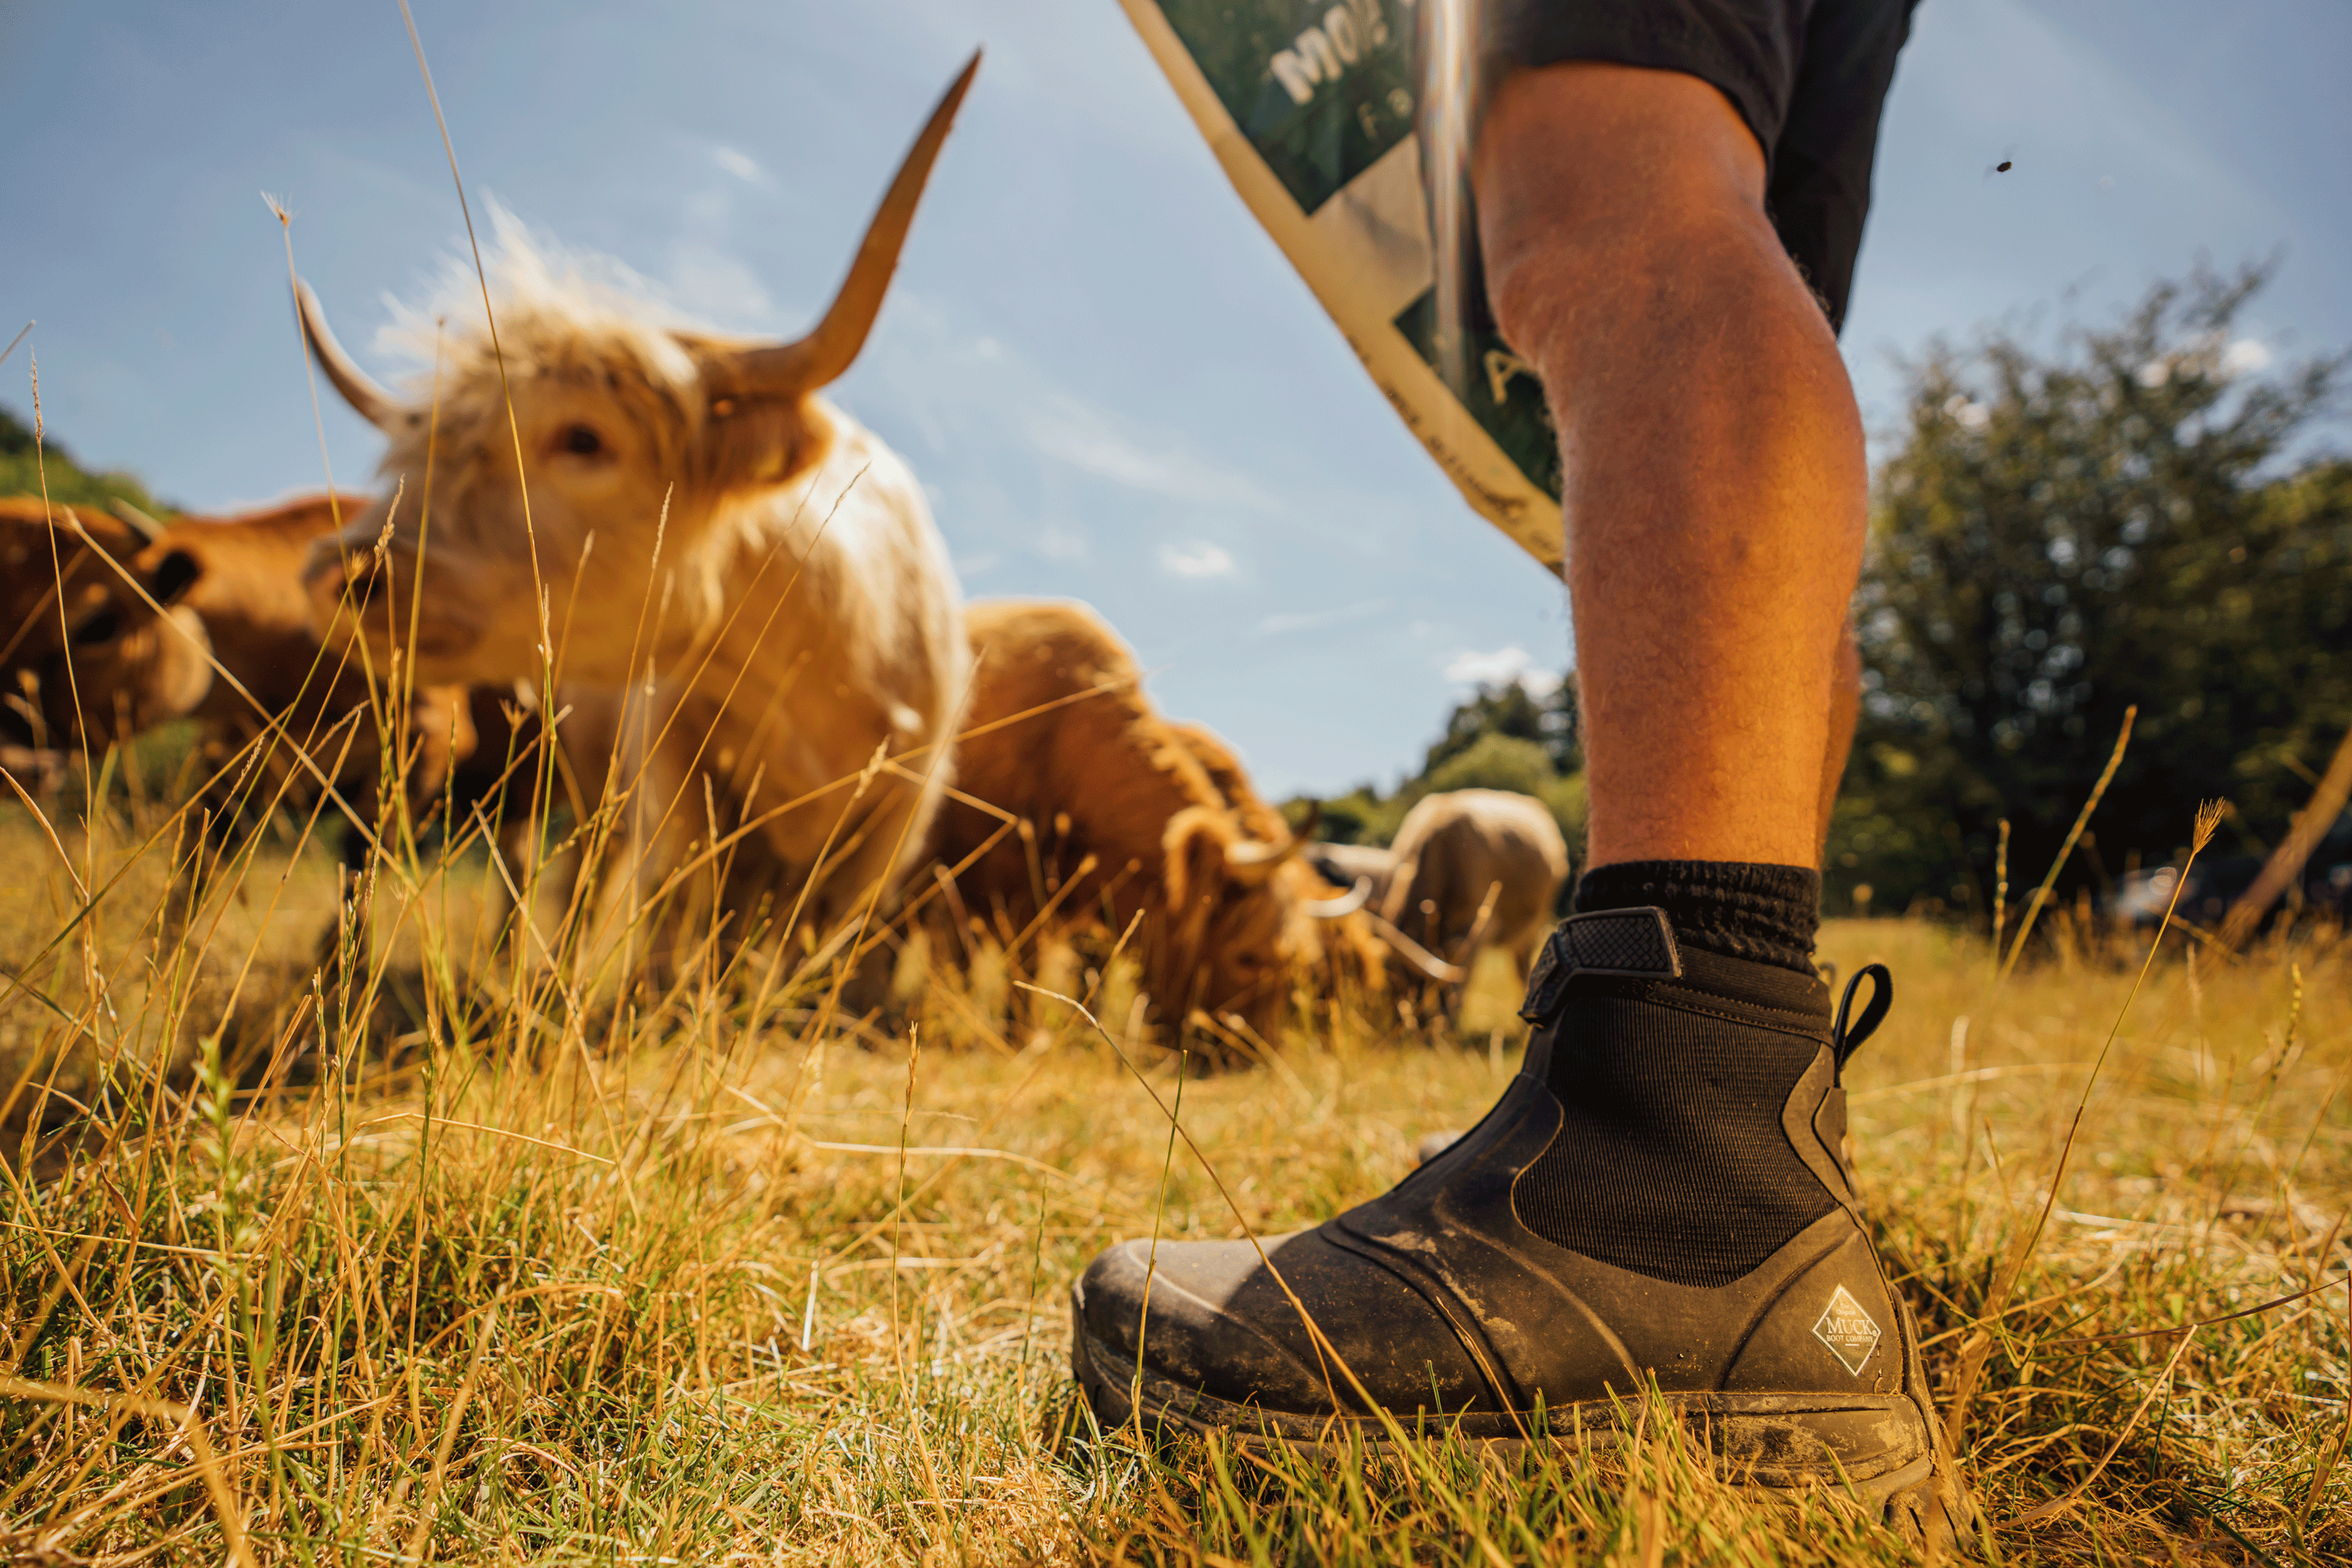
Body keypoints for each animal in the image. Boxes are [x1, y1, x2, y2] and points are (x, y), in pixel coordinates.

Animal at [296, 61, 983, 959]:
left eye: (585, 438)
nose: (341, 569)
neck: (829, 671)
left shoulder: (881, 842)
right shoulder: (671, 783)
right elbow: (669, 928)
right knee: (581, 875)